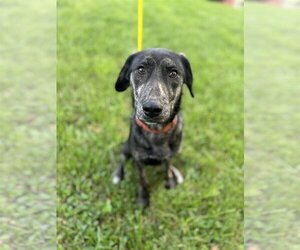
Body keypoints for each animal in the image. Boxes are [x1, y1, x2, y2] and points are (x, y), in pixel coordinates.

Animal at [112, 47, 195, 206]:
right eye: (140, 69)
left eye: (173, 73)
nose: (151, 109)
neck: (156, 131)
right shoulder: (138, 160)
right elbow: (143, 180)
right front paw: (143, 198)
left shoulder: (169, 157)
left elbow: (167, 169)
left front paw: (169, 182)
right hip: (126, 147)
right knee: (122, 160)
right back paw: (118, 175)